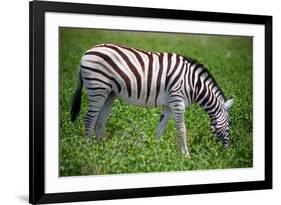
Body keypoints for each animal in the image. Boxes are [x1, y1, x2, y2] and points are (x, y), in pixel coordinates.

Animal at [69, 42, 232, 155]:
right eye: (230, 123)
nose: (227, 151)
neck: (193, 84)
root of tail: (86, 52)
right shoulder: (177, 102)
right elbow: (182, 129)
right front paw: (186, 155)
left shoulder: (168, 105)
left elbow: (160, 128)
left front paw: (155, 151)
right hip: (98, 87)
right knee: (89, 119)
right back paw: (90, 149)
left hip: (109, 93)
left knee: (100, 121)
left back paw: (103, 150)